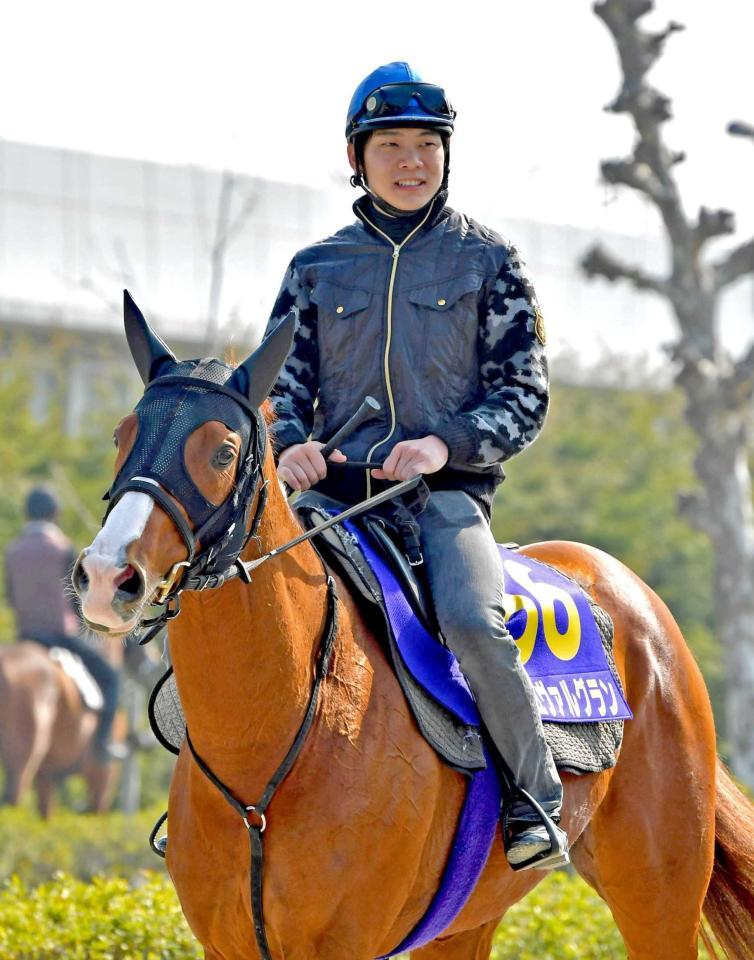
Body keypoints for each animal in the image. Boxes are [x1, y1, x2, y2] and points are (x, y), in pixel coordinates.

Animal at [72, 293, 754, 960]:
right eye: (121, 434)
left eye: (222, 451)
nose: (107, 576)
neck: (267, 756)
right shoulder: (231, 945)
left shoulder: (345, 944)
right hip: (464, 924)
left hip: (660, 890)